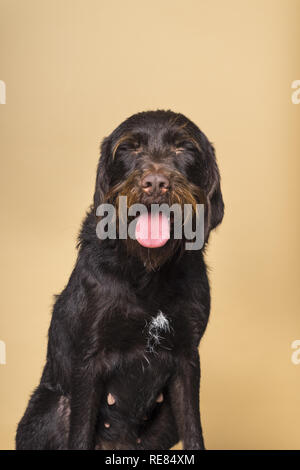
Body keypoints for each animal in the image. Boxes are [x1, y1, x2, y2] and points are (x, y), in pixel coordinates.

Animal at [15, 108, 223, 450]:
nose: (155, 183)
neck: (147, 271)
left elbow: (194, 431)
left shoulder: (187, 359)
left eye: (184, 148)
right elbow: (80, 434)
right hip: (51, 406)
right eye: (129, 148)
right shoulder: (89, 361)